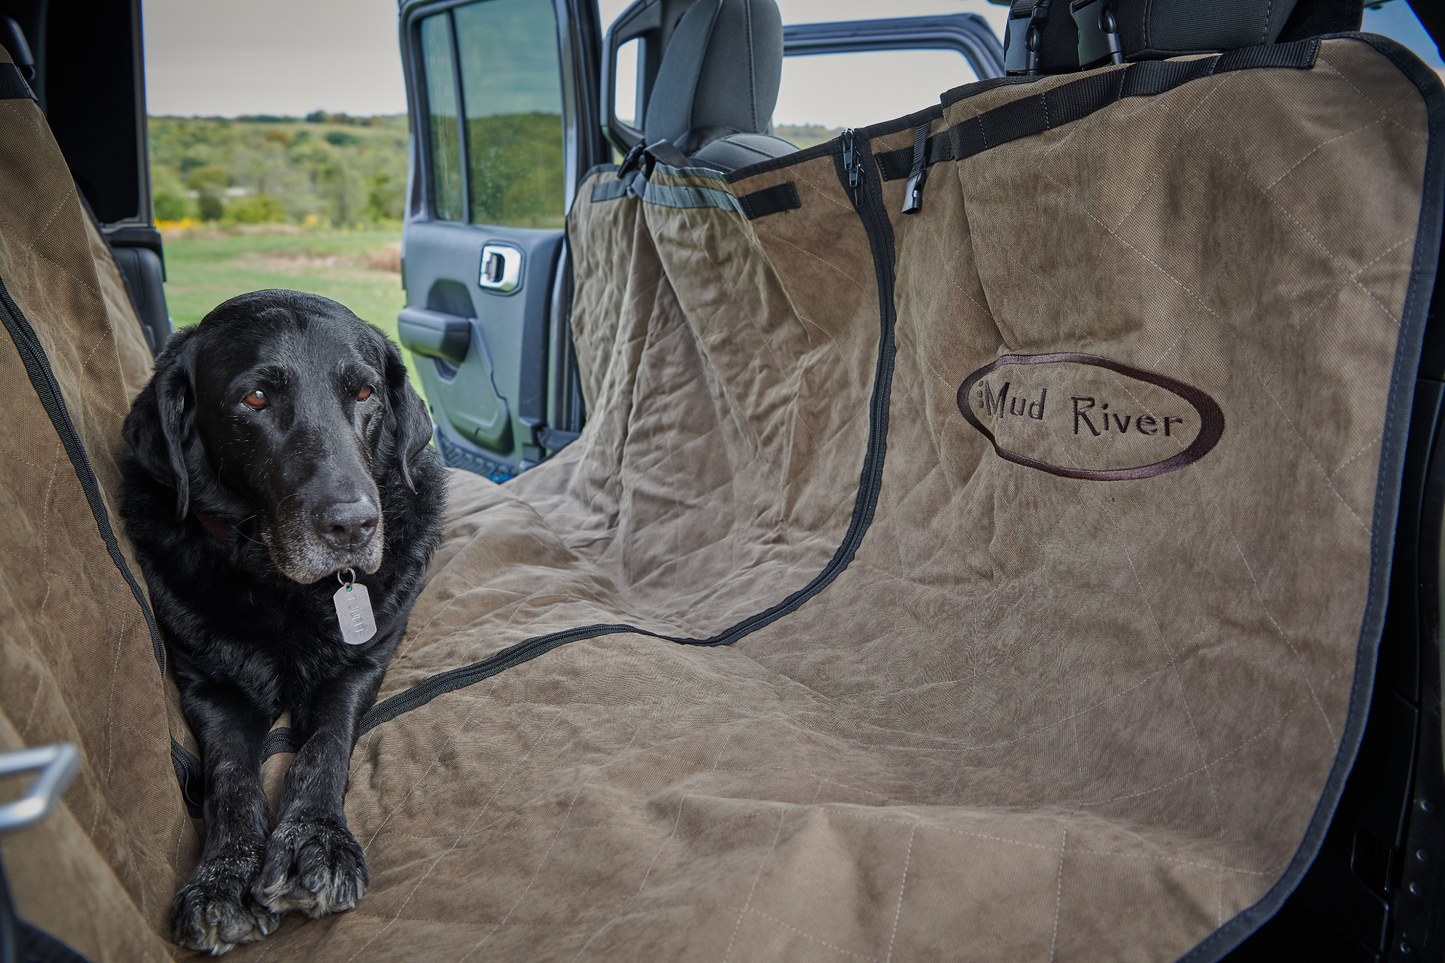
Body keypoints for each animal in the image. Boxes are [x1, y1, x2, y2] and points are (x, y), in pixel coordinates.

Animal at [121, 289, 442, 948]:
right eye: (255, 399)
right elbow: (230, 777)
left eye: (365, 392)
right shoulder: (210, 685)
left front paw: (314, 839)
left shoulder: (361, 663)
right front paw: (223, 875)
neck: (279, 586)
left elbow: (324, 745)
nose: (353, 526)